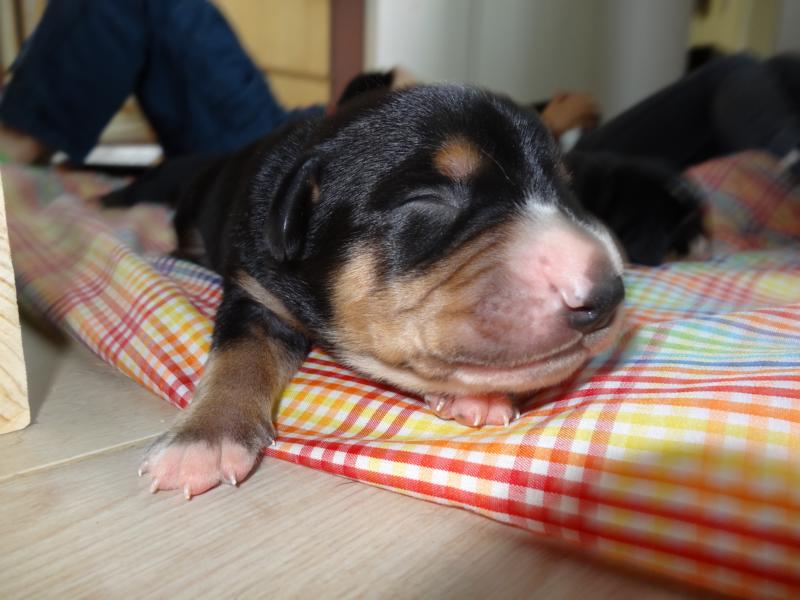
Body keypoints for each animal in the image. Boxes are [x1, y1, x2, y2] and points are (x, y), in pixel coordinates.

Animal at [104, 84, 631, 499]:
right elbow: (239, 356)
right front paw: (204, 439)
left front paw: (478, 395)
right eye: (428, 199)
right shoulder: (255, 291)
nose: (606, 295)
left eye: (567, 192)